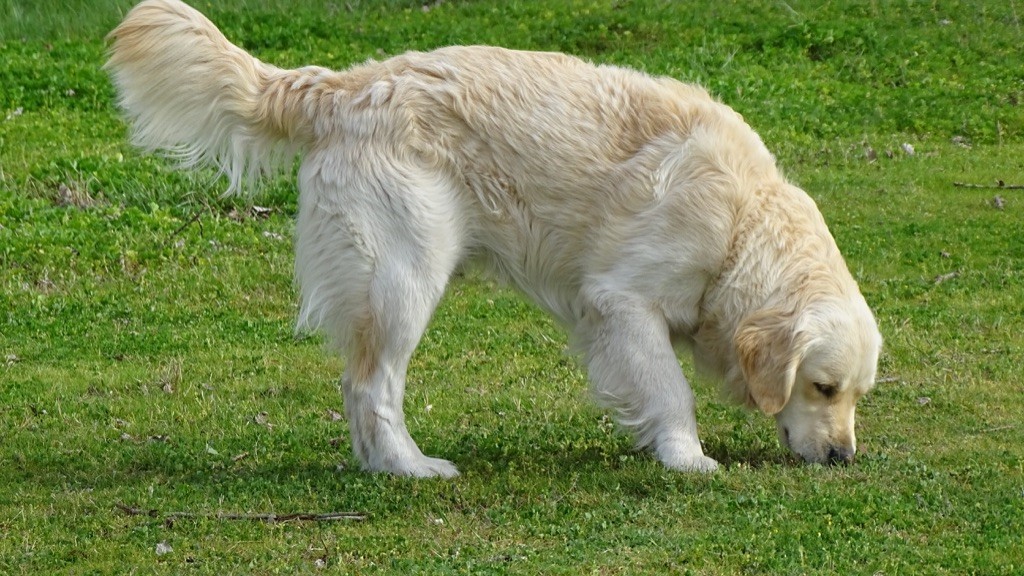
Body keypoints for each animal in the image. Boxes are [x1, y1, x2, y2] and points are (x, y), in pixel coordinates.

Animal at [108, 0, 884, 475]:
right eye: (821, 386)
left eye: (854, 395)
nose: (844, 456)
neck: (741, 228)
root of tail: (345, 86)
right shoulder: (623, 301)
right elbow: (670, 390)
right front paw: (687, 458)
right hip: (402, 278)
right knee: (370, 385)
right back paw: (410, 468)